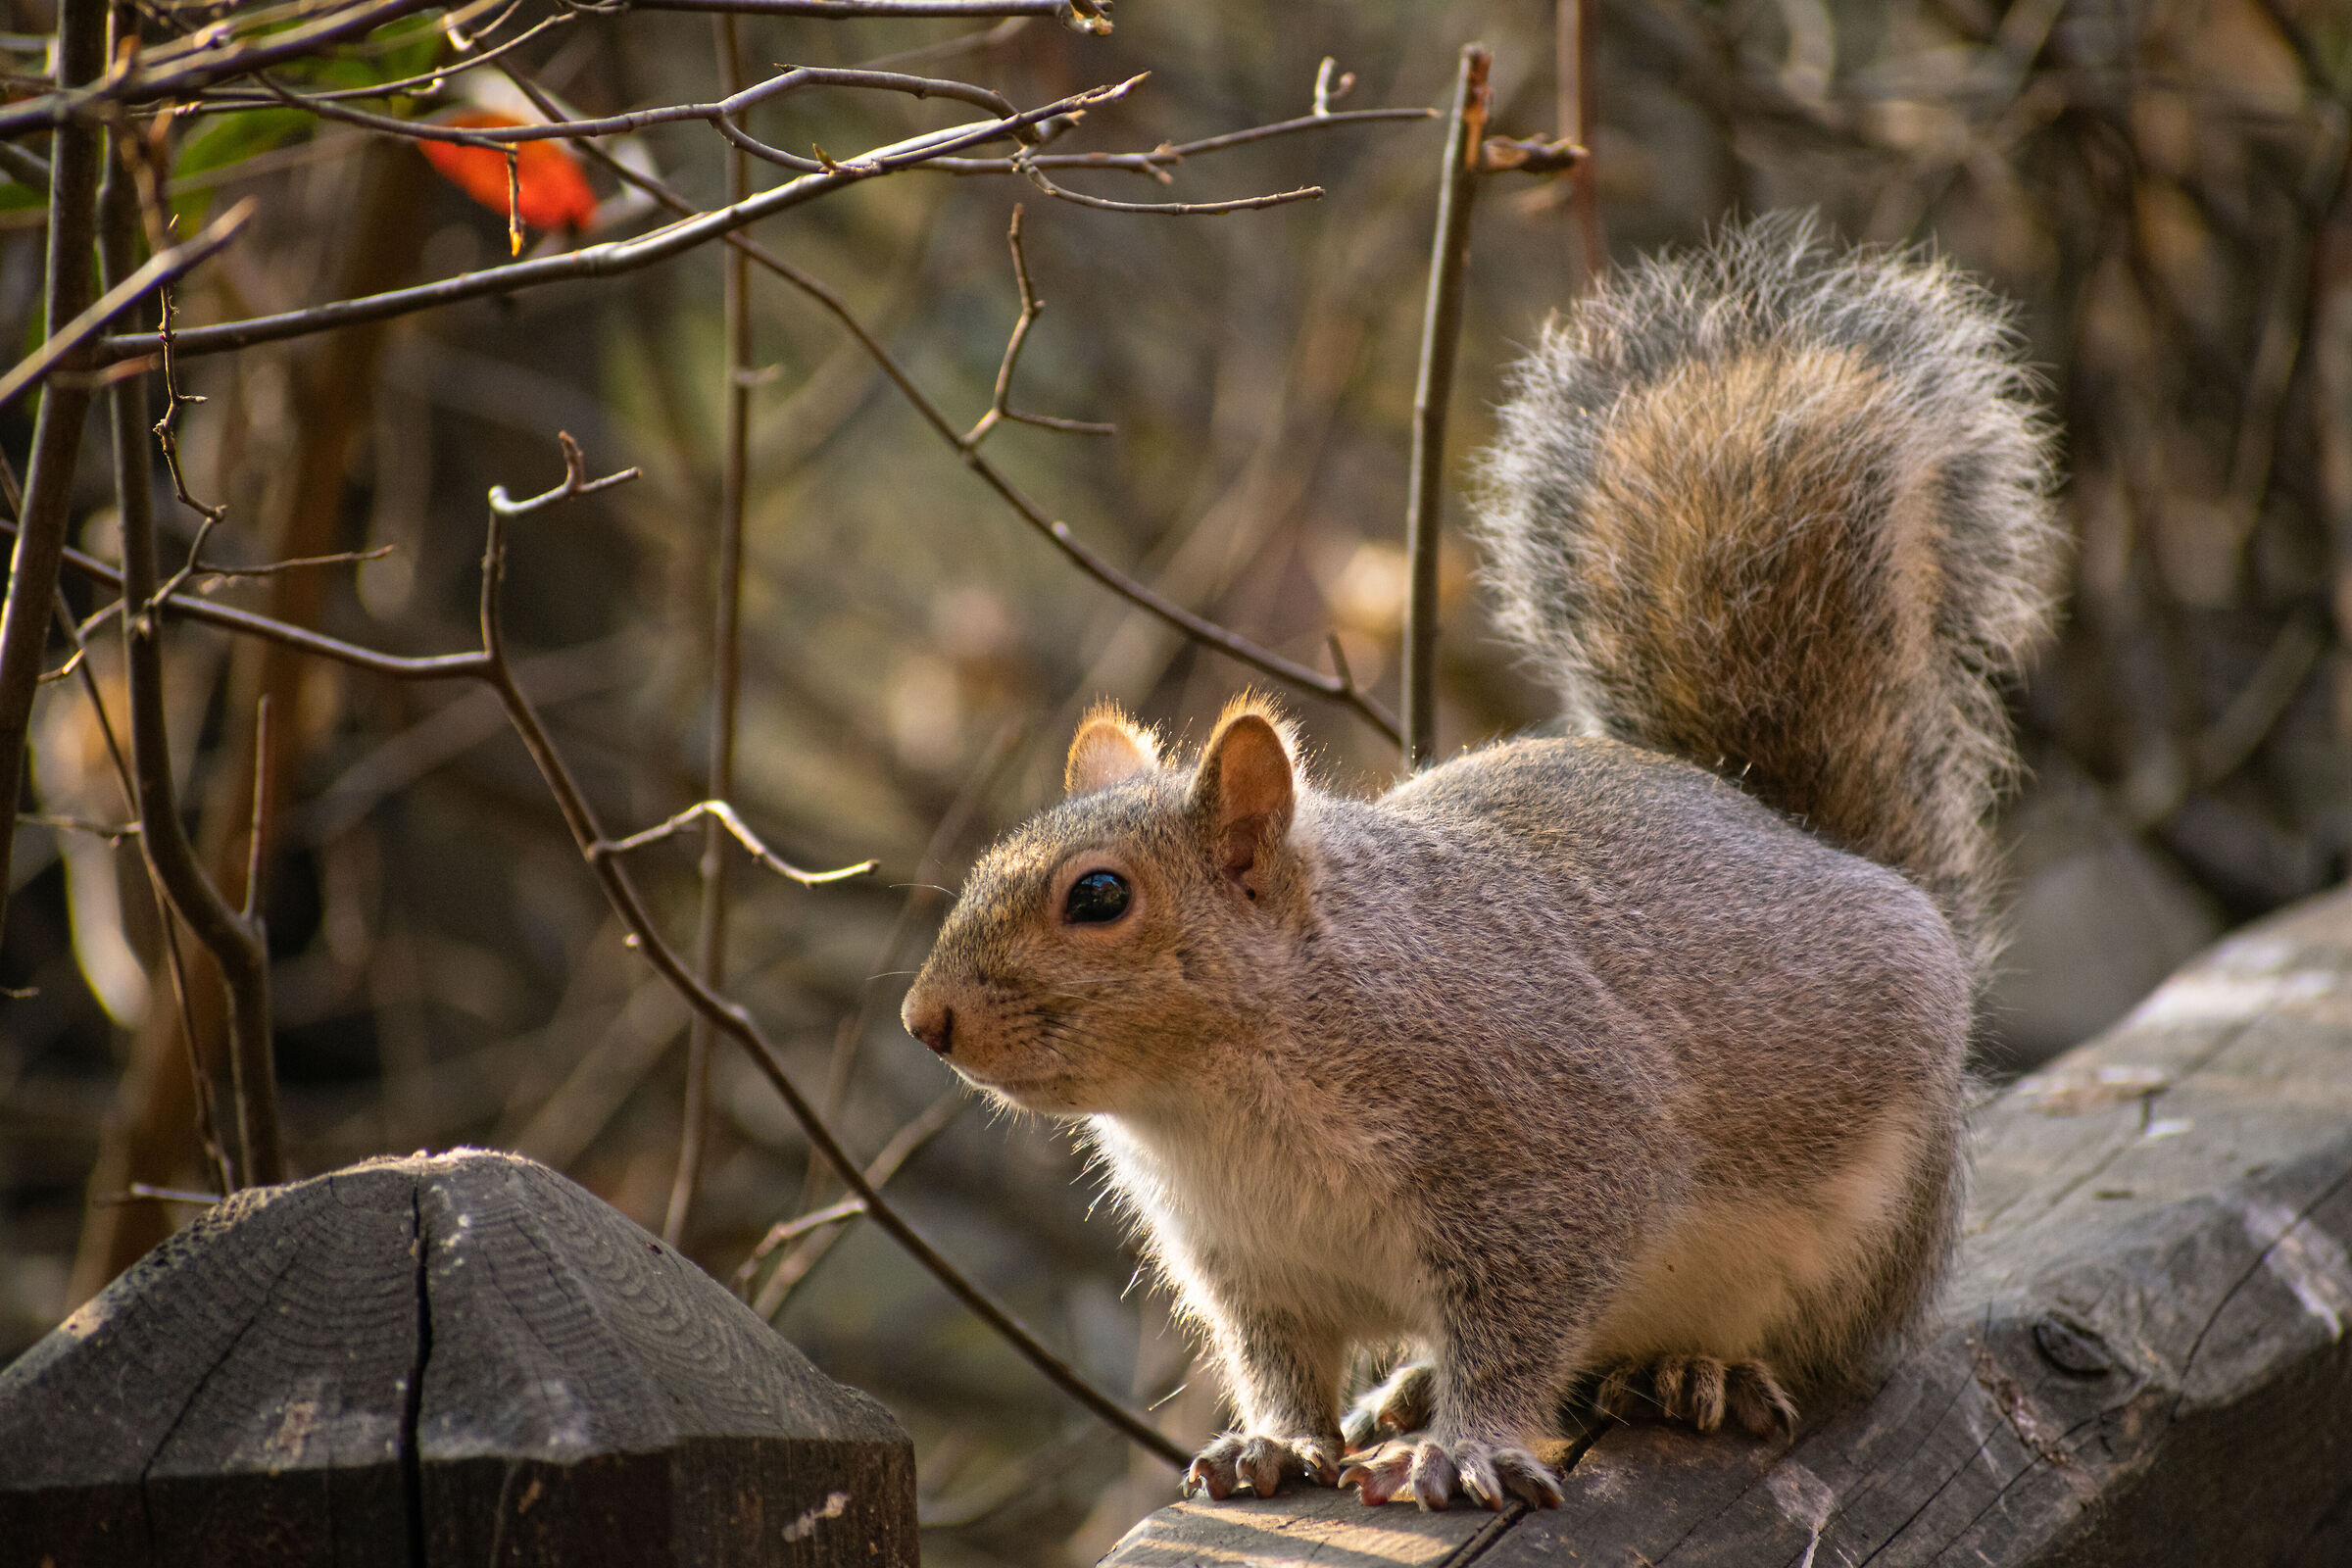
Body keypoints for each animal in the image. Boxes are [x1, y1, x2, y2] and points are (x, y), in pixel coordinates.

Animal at [900, 215, 2062, 1512]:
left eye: (1098, 896)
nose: (925, 1020)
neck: (1216, 1095)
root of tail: (1814, 841)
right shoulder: (1249, 1258)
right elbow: (1279, 1358)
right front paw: (1274, 1440)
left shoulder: (1551, 1158)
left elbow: (1518, 1330)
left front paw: (1464, 1448)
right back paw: (1410, 1387)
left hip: (1871, 1236)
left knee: (1812, 1350)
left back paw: (1692, 1371)